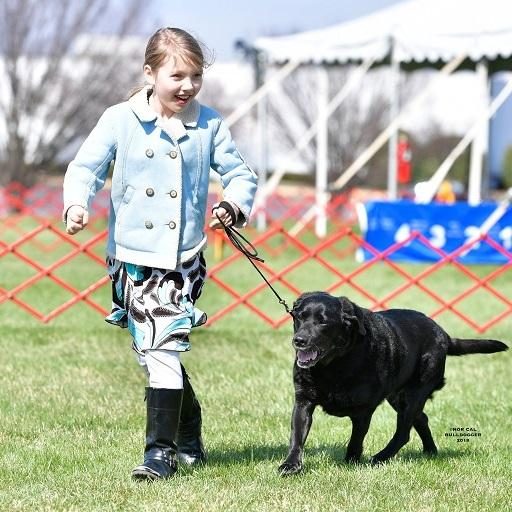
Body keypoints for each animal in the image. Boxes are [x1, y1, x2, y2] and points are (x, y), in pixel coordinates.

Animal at [280, 292, 508, 476]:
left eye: (323, 322)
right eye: (299, 317)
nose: (299, 340)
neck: (335, 364)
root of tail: (444, 334)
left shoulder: (364, 410)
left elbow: (356, 440)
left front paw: (351, 462)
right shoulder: (303, 401)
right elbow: (297, 435)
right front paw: (290, 465)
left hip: (416, 392)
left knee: (404, 432)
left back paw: (380, 457)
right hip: (398, 396)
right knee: (421, 419)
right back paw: (430, 451)